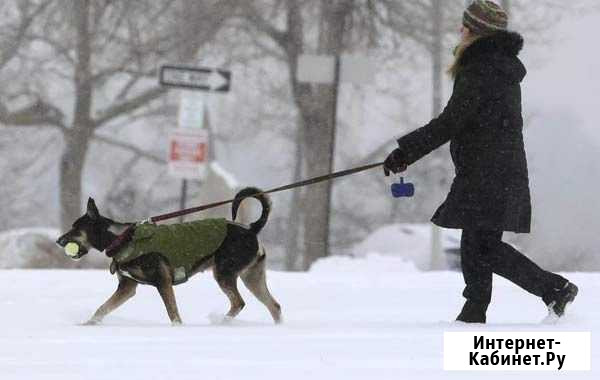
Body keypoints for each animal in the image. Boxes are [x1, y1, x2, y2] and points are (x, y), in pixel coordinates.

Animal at [56, 187, 282, 324]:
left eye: (75, 228)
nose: (58, 240)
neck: (121, 238)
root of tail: (251, 229)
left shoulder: (162, 282)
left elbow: (173, 314)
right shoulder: (127, 287)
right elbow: (102, 309)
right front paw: (87, 324)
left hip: (224, 273)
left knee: (239, 303)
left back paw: (221, 323)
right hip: (252, 277)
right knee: (274, 306)